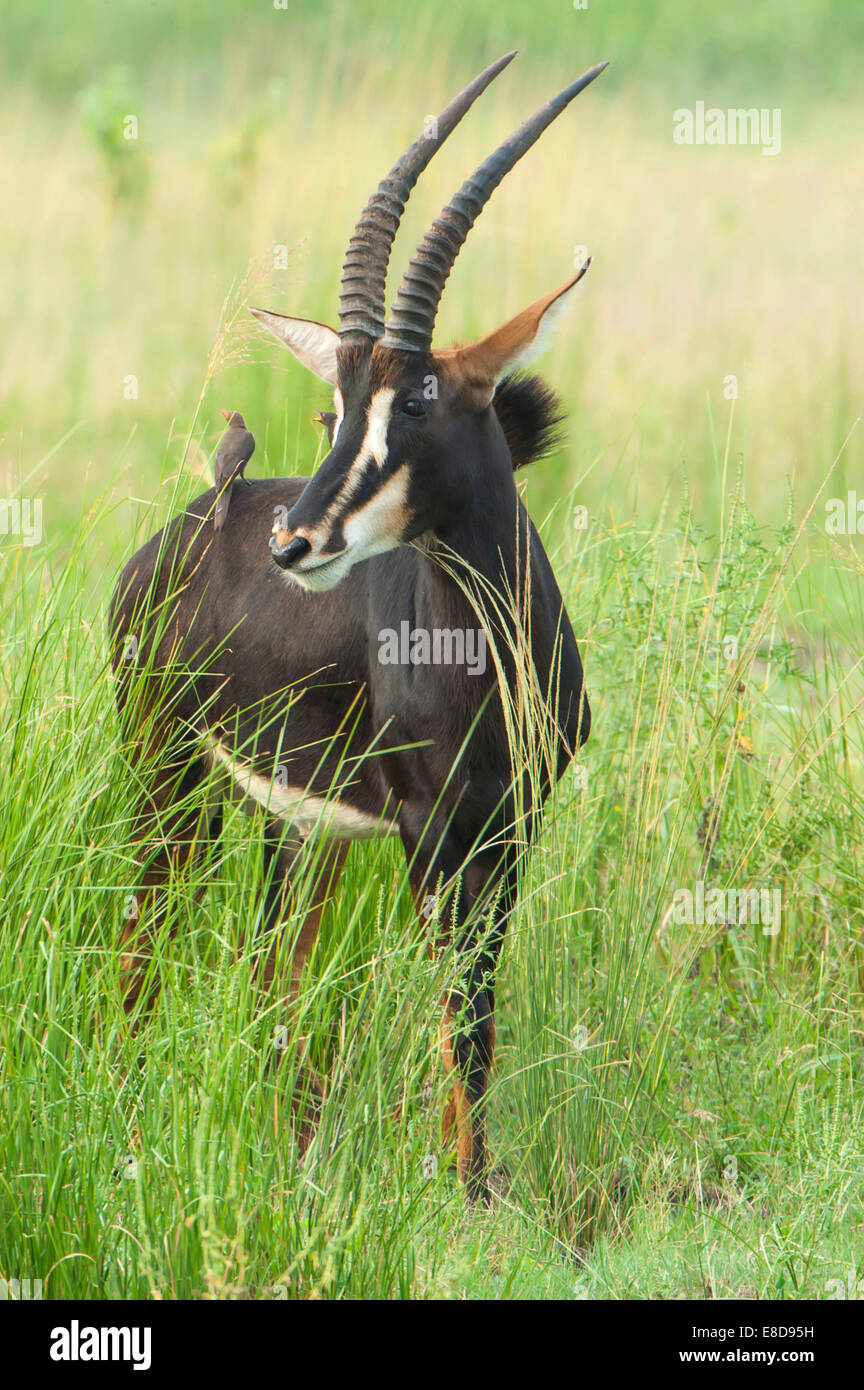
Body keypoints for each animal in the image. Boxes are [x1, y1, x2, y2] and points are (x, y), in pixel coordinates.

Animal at [111, 51, 605, 1206]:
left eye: (414, 400)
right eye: (334, 408)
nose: (296, 541)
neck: (481, 656)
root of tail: (198, 518)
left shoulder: (506, 830)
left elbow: (475, 1015)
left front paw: (475, 1185)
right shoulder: (430, 833)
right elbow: (459, 1019)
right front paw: (464, 1196)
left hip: (298, 829)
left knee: (272, 977)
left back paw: (290, 1155)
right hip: (167, 782)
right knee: (140, 950)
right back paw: (129, 1130)